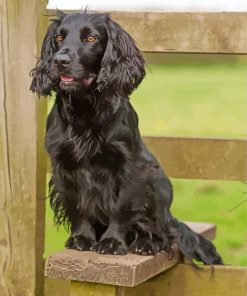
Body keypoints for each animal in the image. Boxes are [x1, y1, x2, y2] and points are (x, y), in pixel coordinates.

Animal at [29, 11, 223, 264]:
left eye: (90, 38)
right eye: (59, 38)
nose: (59, 60)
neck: (84, 110)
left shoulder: (129, 166)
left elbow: (121, 207)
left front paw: (112, 242)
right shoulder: (63, 165)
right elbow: (78, 205)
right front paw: (82, 238)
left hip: (157, 183)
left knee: (162, 233)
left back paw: (146, 243)